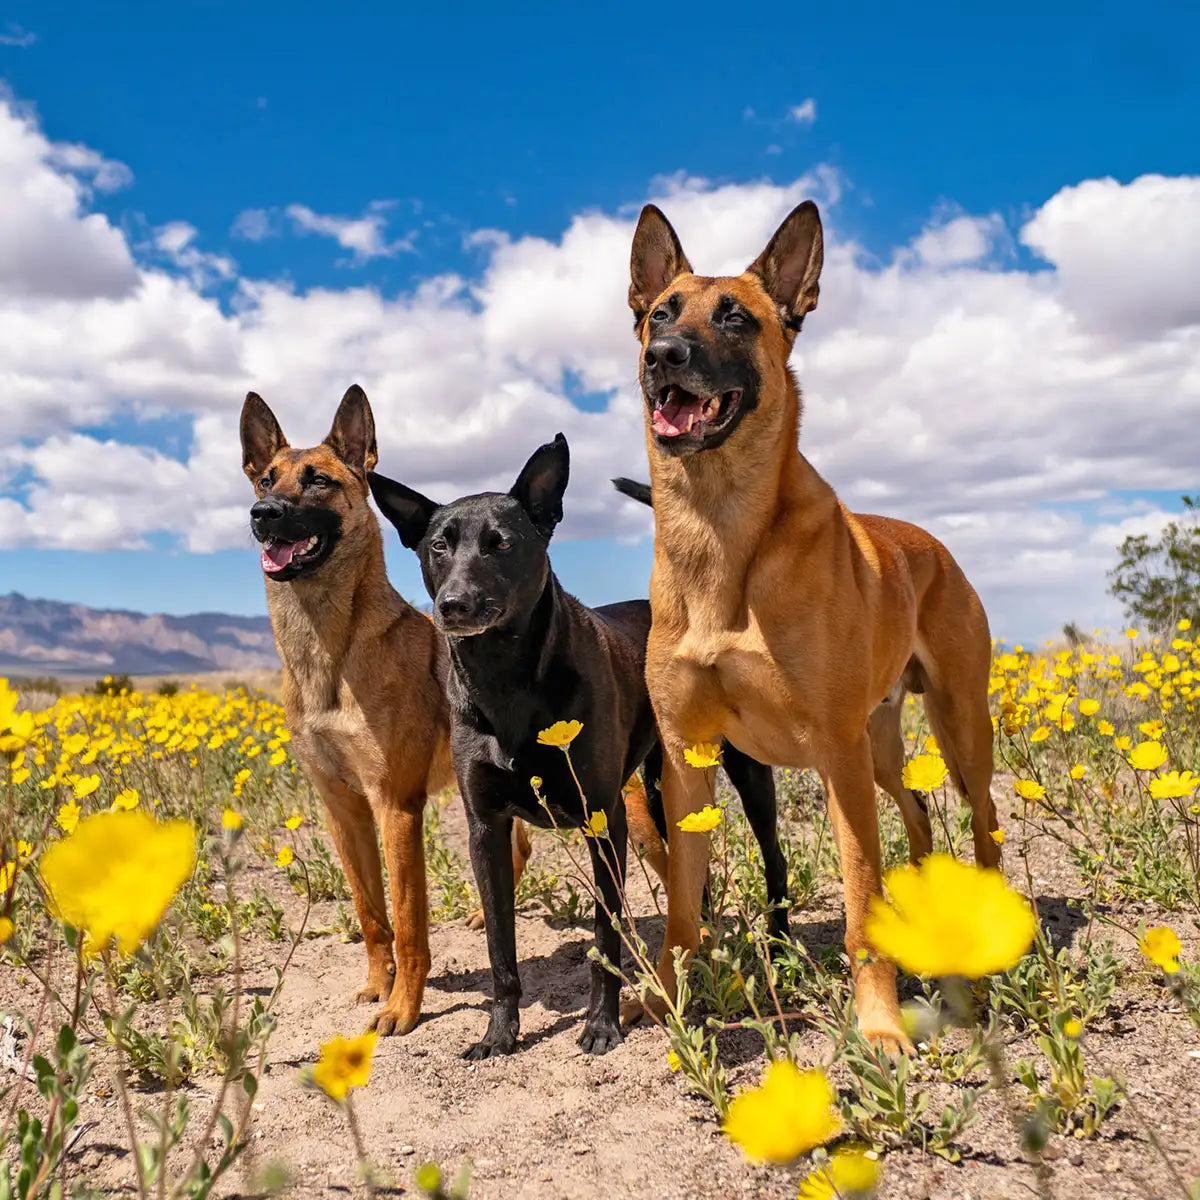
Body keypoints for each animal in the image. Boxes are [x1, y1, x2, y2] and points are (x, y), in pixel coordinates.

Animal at [369, 439, 787, 1060]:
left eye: (502, 543)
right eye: (439, 545)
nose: (453, 605)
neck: (508, 681)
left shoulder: (604, 821)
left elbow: (605, 939)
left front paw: (602, 1024)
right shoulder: (484, 829)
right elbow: (500, 948)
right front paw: (499, 1033)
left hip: (741, 772)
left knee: (774, 856)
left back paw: (778, 946)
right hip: (665, 787)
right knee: (695, 871)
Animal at [624, 201, 998, 1046]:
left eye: (735, 318)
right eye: (661, 312)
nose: (663, 356)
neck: (720, 530)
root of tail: (933, 543)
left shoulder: (834, 752)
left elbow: (859, 902)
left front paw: (879, 1024)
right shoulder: (687, 762)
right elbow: (682, 911)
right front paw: (666, 999)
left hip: (957, 731)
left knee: (984, 821)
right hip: (881, 748)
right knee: (917, 814)